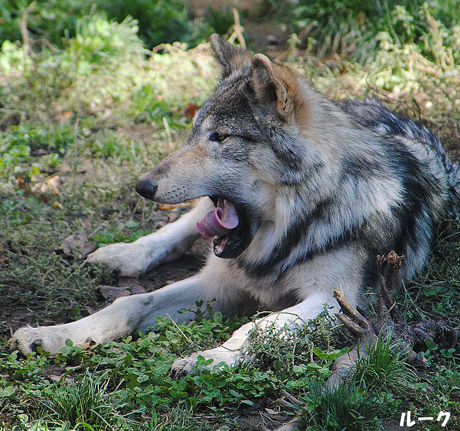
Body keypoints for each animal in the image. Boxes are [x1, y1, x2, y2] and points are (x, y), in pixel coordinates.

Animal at [9, 34, 456, 374]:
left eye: (220, 138)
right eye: (192, 134)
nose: (142, 186)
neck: (290, 231)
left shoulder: (334, 300)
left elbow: (257, 327)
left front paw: (209, 359)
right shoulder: (219, 282)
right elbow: (129, 302)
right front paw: (53, 335)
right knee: (177, 229)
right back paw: (121, 254)